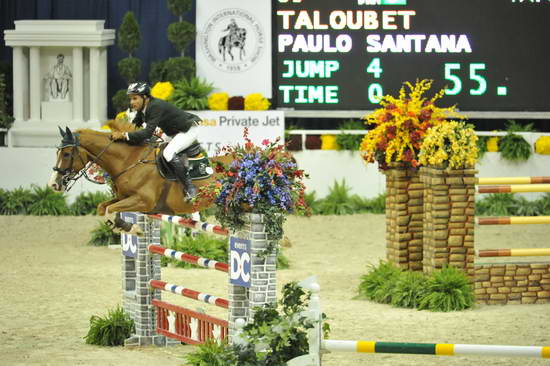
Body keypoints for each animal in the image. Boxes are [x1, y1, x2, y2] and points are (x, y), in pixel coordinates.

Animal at [48, 124, 232, 236]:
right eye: (57, 152)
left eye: (66, 154)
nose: (53, 184)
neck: (129, 161)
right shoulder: (124, 197)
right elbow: (102, 208)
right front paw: (126, 228)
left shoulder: (143, 201)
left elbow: (111, 210)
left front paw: (132, 228)